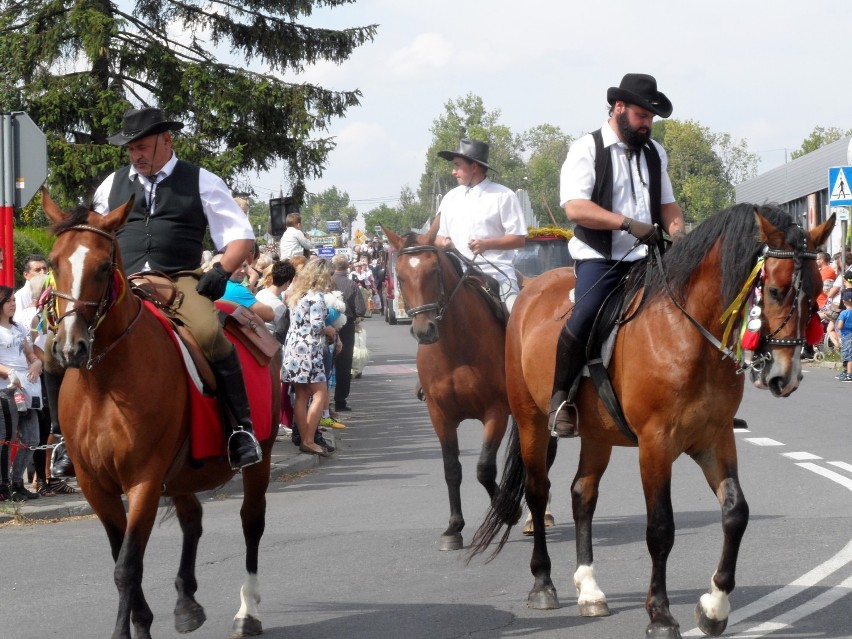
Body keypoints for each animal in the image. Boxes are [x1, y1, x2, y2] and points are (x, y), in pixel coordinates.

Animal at [42, 191, 280, 639]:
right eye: (51, 263)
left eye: (103, 267)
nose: (69, 348)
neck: (105, 384)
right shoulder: (96, 485)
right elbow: (121, 556)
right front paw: (143, 622)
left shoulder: (144, 479)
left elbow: (127, 566)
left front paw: (129, 630)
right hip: (182, 471)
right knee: (193, 519)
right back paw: (187, 601)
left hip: (260, 457)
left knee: (251, 522)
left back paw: (249, 611)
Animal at [384, 220, 512, 552]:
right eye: (400, 275)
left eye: (434, 270)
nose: (424, 330)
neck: (457, 349)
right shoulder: (439, 414)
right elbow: (452, 469)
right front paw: (454, 527)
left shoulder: (497, 411)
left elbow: (484, 468)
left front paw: (508, 511)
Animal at [470, 205, 836, 639]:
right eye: (776, 291)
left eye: (817, 291)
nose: (785, 377)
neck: (685, 331)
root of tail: (529, 290)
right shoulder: (656, 445)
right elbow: (661, 528)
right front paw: (660, 615)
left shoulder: (714, 439)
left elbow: (736, 513)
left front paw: (714, 608)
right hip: (531, 422)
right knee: (538, 491)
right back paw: (543, 584)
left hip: (598, 434)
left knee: (582, 494)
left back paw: (589, 590)